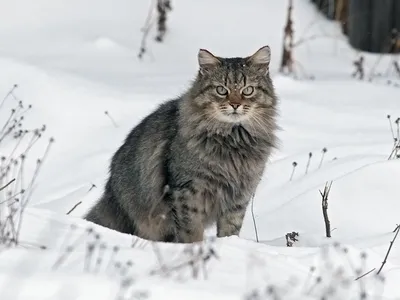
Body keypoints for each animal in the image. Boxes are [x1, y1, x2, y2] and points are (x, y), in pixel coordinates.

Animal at [84, 45, 278, 244]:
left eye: (248, 90)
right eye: (221, 90)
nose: (235, 105)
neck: (233, 140)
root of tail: (110, 191)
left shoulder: (239, 196)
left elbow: (229, 230)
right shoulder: (187, 191)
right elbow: (191, 232)